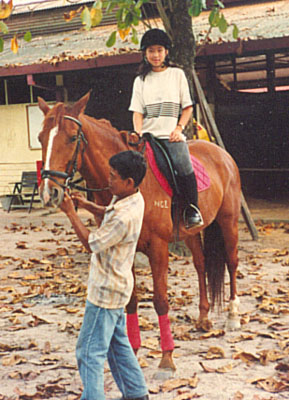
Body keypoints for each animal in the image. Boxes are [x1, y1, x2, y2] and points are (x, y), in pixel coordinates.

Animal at [38, 93, 241, 372]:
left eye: (71, 137)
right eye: (40, 138)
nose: (50, 193)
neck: (135, 185)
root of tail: (221, 154)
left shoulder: (158, 246)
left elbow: (160, 301)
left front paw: (166, 357)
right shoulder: (125, 247)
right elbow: (131, 300)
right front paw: (133, 351)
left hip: (228, 222)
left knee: (231, 263)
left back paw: (232, 316)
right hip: (191, 233)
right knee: (201, 265)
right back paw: (203, 317)